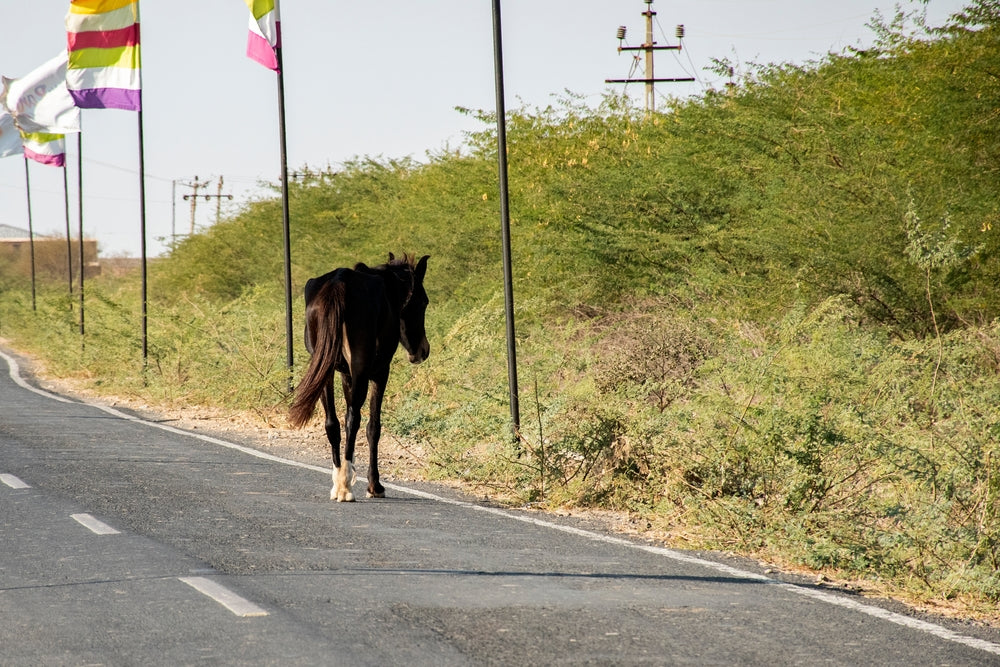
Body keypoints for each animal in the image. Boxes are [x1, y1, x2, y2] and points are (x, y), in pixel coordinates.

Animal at [288, 253, 430, 501]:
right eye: (423, 302)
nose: (423, 350)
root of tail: (339, 283)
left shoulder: (346, 375)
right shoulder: (380, 373)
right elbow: (373, 427)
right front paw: (375, 486)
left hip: (323, 370)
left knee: (332, 423)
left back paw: (339, 481)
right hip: (361, 368)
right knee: (353, 420)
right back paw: (346, 487)